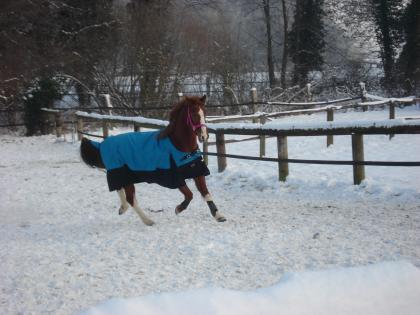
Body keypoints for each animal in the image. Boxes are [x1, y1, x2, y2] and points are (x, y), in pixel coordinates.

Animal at [81, 95, 228, 226]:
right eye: (193, 113)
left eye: (205, 113)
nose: (204, 136)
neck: (180, 146)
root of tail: (102, 145)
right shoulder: (176, 178)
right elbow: (190, 195)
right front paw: (178, 209)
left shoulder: (197, 172)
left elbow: (206, 194)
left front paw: (219, 216)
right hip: (123, 175)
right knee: (131, 199)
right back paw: (148, 221)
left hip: (122, 176)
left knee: (120, 191)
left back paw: (123, 209)